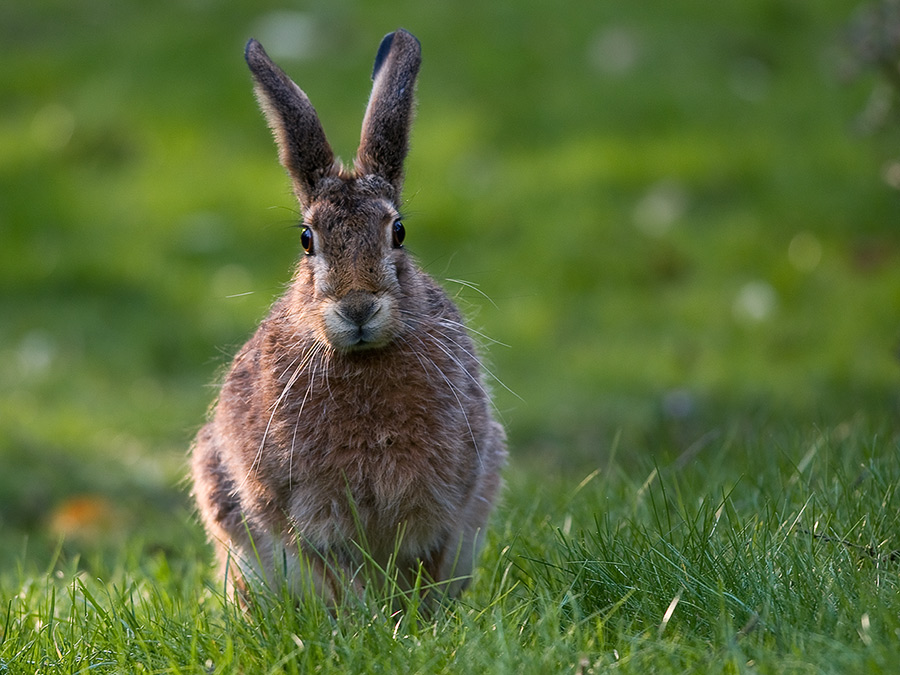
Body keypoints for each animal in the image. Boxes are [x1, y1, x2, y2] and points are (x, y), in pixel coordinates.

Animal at [190, 29, 507, 605]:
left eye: (398, 232)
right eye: (306, 239)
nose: (357, 307)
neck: (362, 359)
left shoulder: (443, 507)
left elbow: (420, 568)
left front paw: (413, 620)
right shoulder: (303, 513)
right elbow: (338, 575)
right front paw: (368, 620)